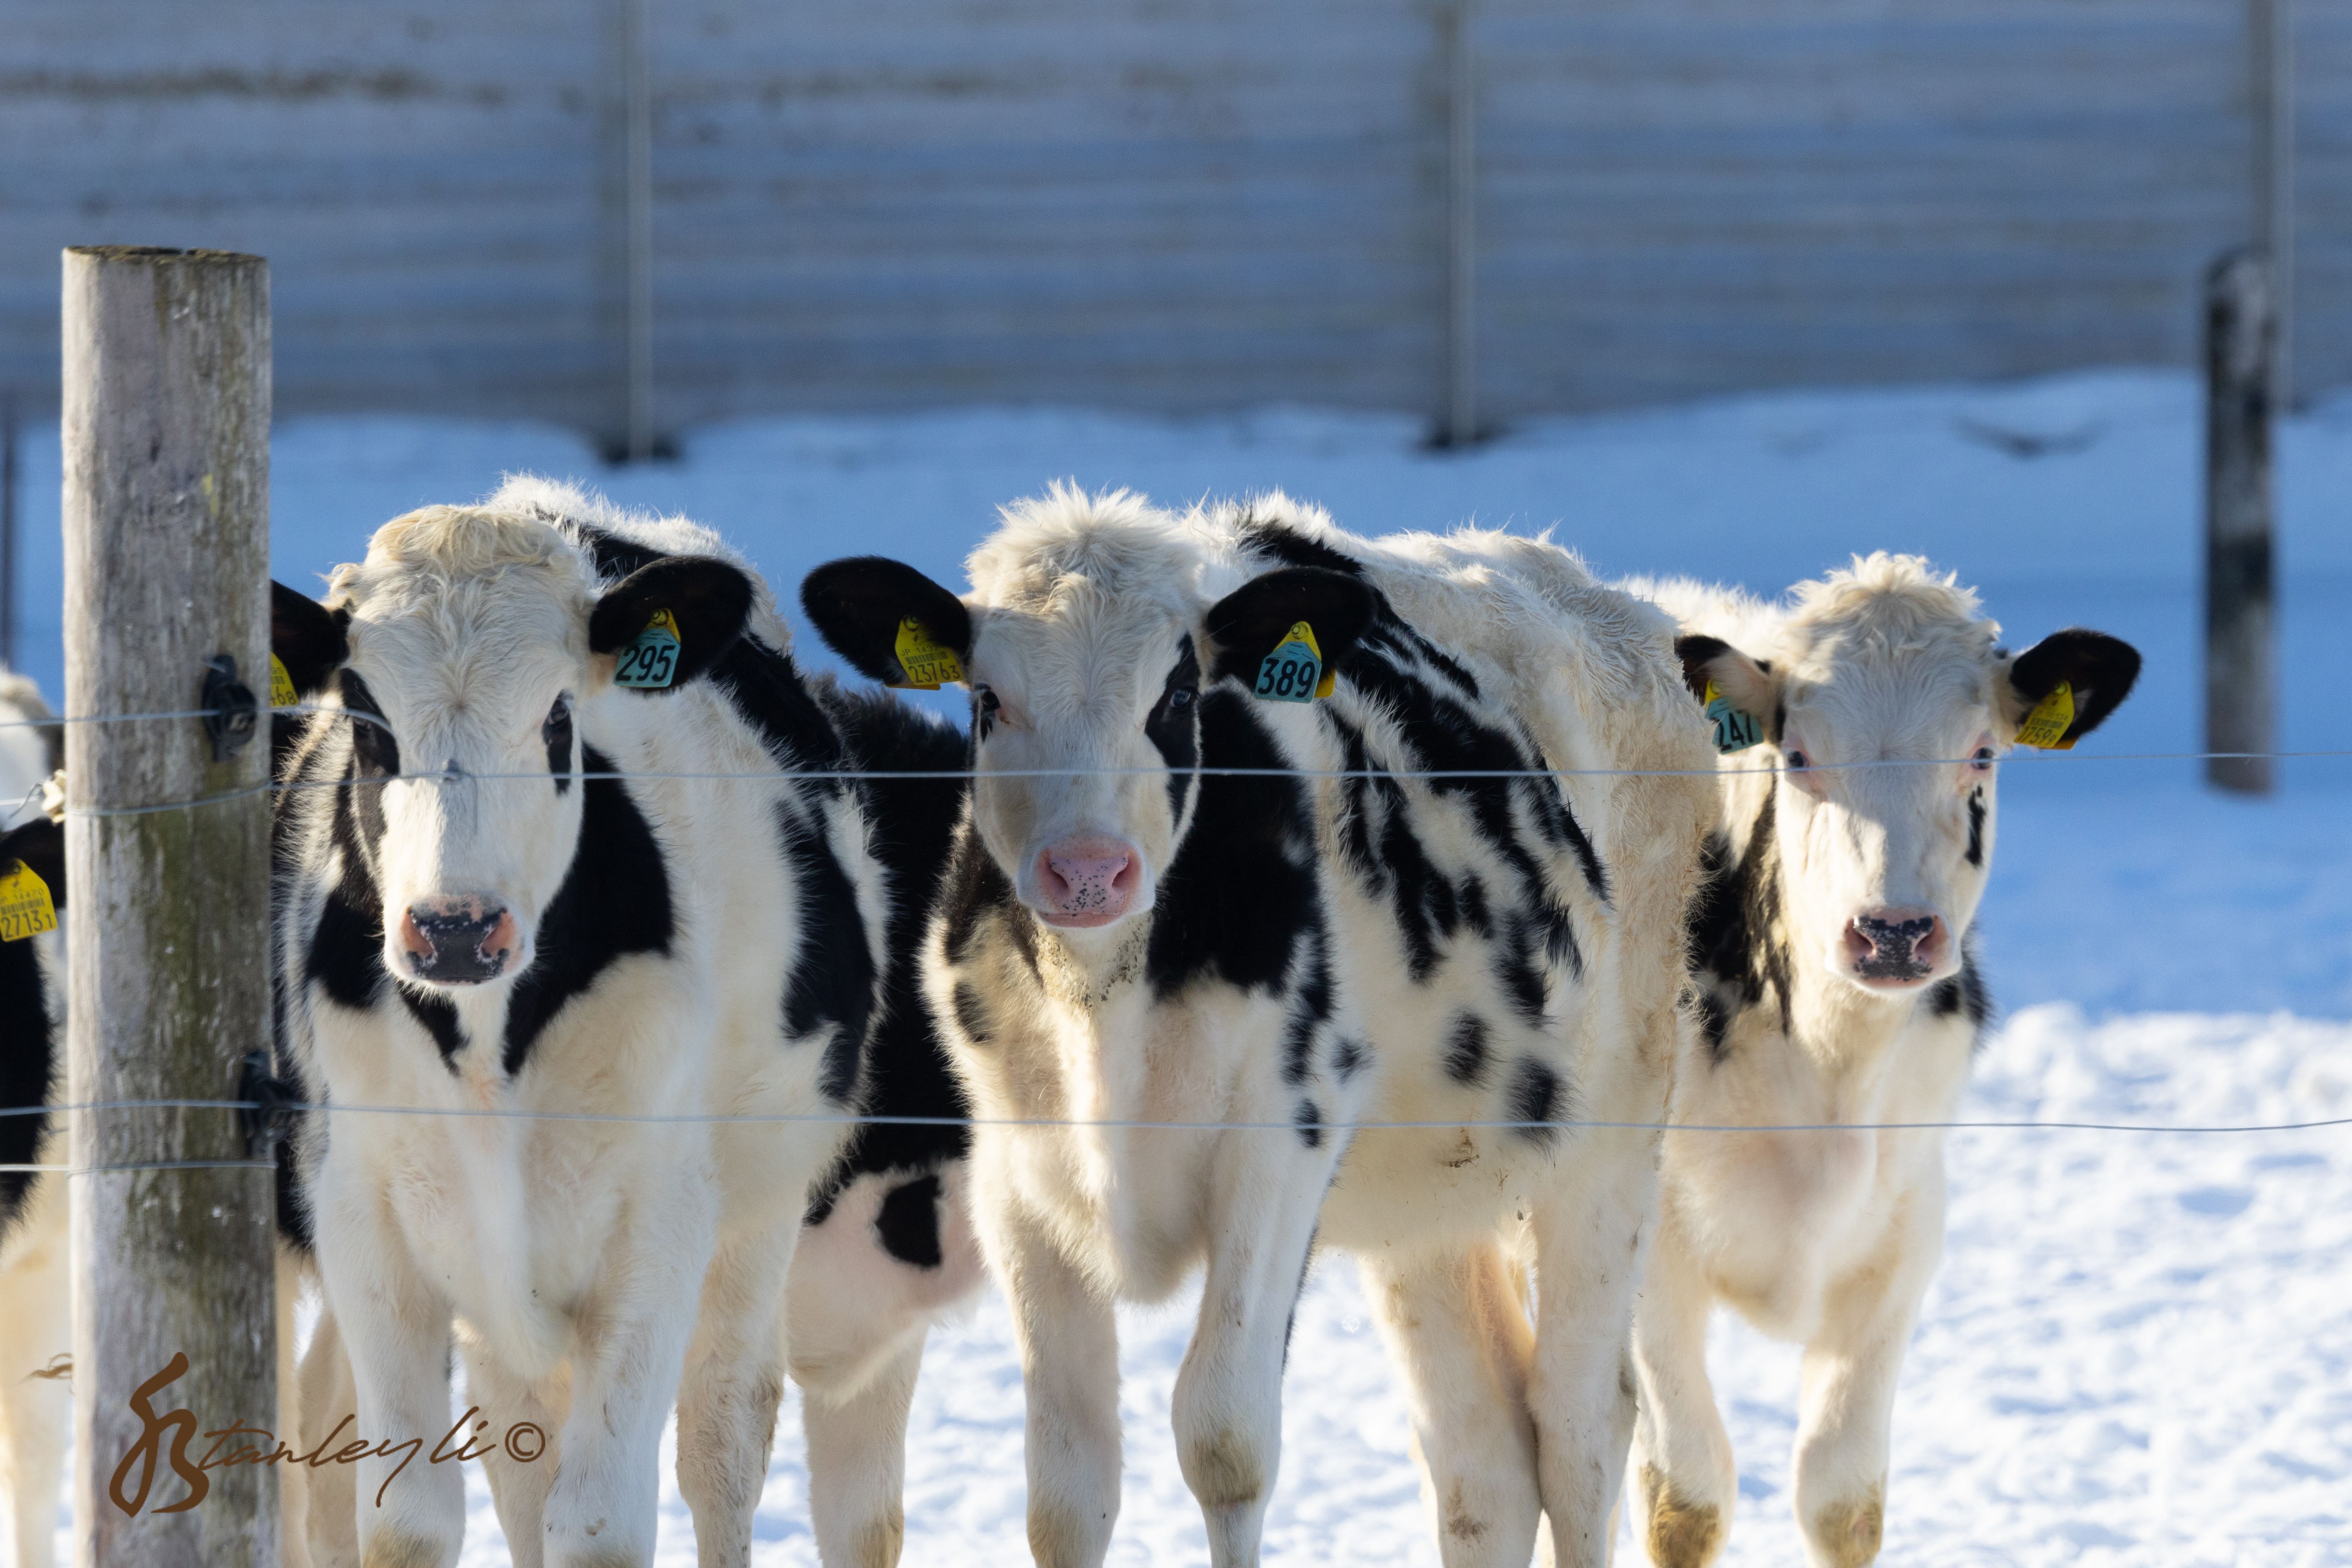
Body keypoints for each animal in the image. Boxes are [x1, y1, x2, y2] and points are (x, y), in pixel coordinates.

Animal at [267, 476, 889, 1568]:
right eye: (367, 718)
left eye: (559, 713)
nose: (456, 927)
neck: (489, 1043)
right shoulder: (361, 1212)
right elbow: (410, 1519)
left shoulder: (658, 1219)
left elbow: (601, 1519)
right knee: (524, 1463)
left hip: (758, 1210)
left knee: (722, 1443)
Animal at [801, 486, 1714, 1568]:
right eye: (987, 700)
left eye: (1174, 696)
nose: (1087, 871)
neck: (1104, 1007)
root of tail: (1617, 610)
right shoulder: (1019, 1179)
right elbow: (1065, 1488)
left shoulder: (1280, 1145)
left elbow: (1224, 1439)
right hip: (1429, 1194)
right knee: (1483, 1458)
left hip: (1610, 1133)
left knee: (1581, 1428)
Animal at [1624, 553, 2141, 1567]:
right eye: (1796, 754)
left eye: (1981, 754)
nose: (1893, 931)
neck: (1827, 1067)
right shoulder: (1638, 1243)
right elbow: (1684, 1499)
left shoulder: (1902, 1235)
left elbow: (1841, 1498)